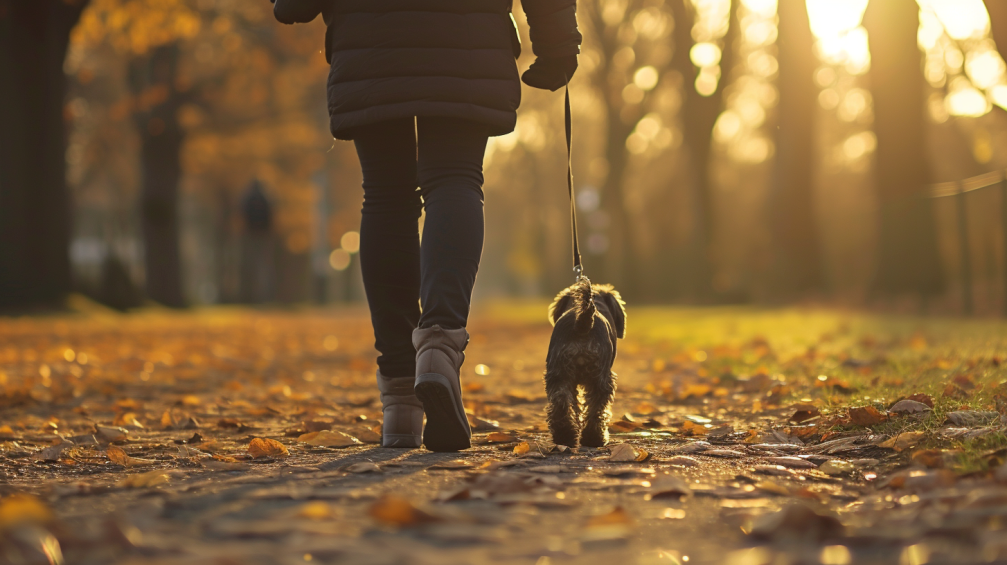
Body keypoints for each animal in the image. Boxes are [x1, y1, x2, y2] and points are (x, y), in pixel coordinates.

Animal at [547, 275, 624, 445]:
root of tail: (583, 323)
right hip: (600, 380)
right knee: (597, 408)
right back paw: (594, 438)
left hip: (558, 374)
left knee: (560, 401)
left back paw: (565, 435)